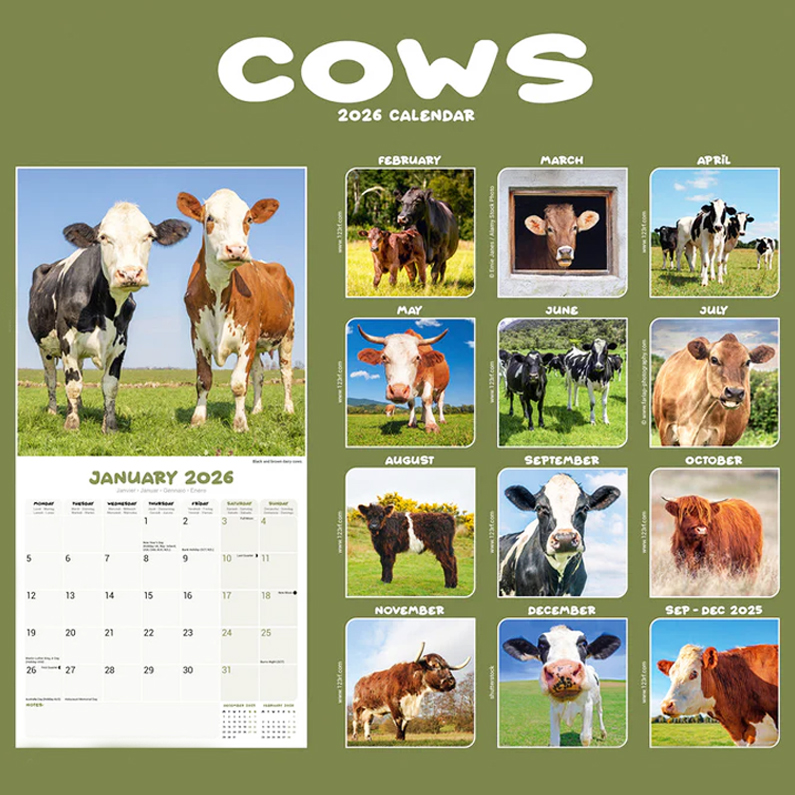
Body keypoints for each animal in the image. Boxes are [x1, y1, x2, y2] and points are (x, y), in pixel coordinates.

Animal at [28, 202, 190, 432]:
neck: (105, 307)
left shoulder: (121, 341)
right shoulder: (67, 339)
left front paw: (110, 426)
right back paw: (53, 411)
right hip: (45, 348)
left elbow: (110, 385)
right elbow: (73, 384)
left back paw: (79, 407)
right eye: (103, 237)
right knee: (51, 378)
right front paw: (72, 423)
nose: (130, 273)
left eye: (149, 236)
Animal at [177, 189, 295, 433]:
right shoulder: (197, 335)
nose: (237, 249)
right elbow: (203, 380)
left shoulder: (248, 334)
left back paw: (288, 409)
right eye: (209, 218)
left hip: (288, 333)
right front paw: (198, 419)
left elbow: (239, 383)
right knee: (259, 374)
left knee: (286, 372)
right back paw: (257, 409)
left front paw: (240, 424)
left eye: (248, 219)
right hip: (260, 344)